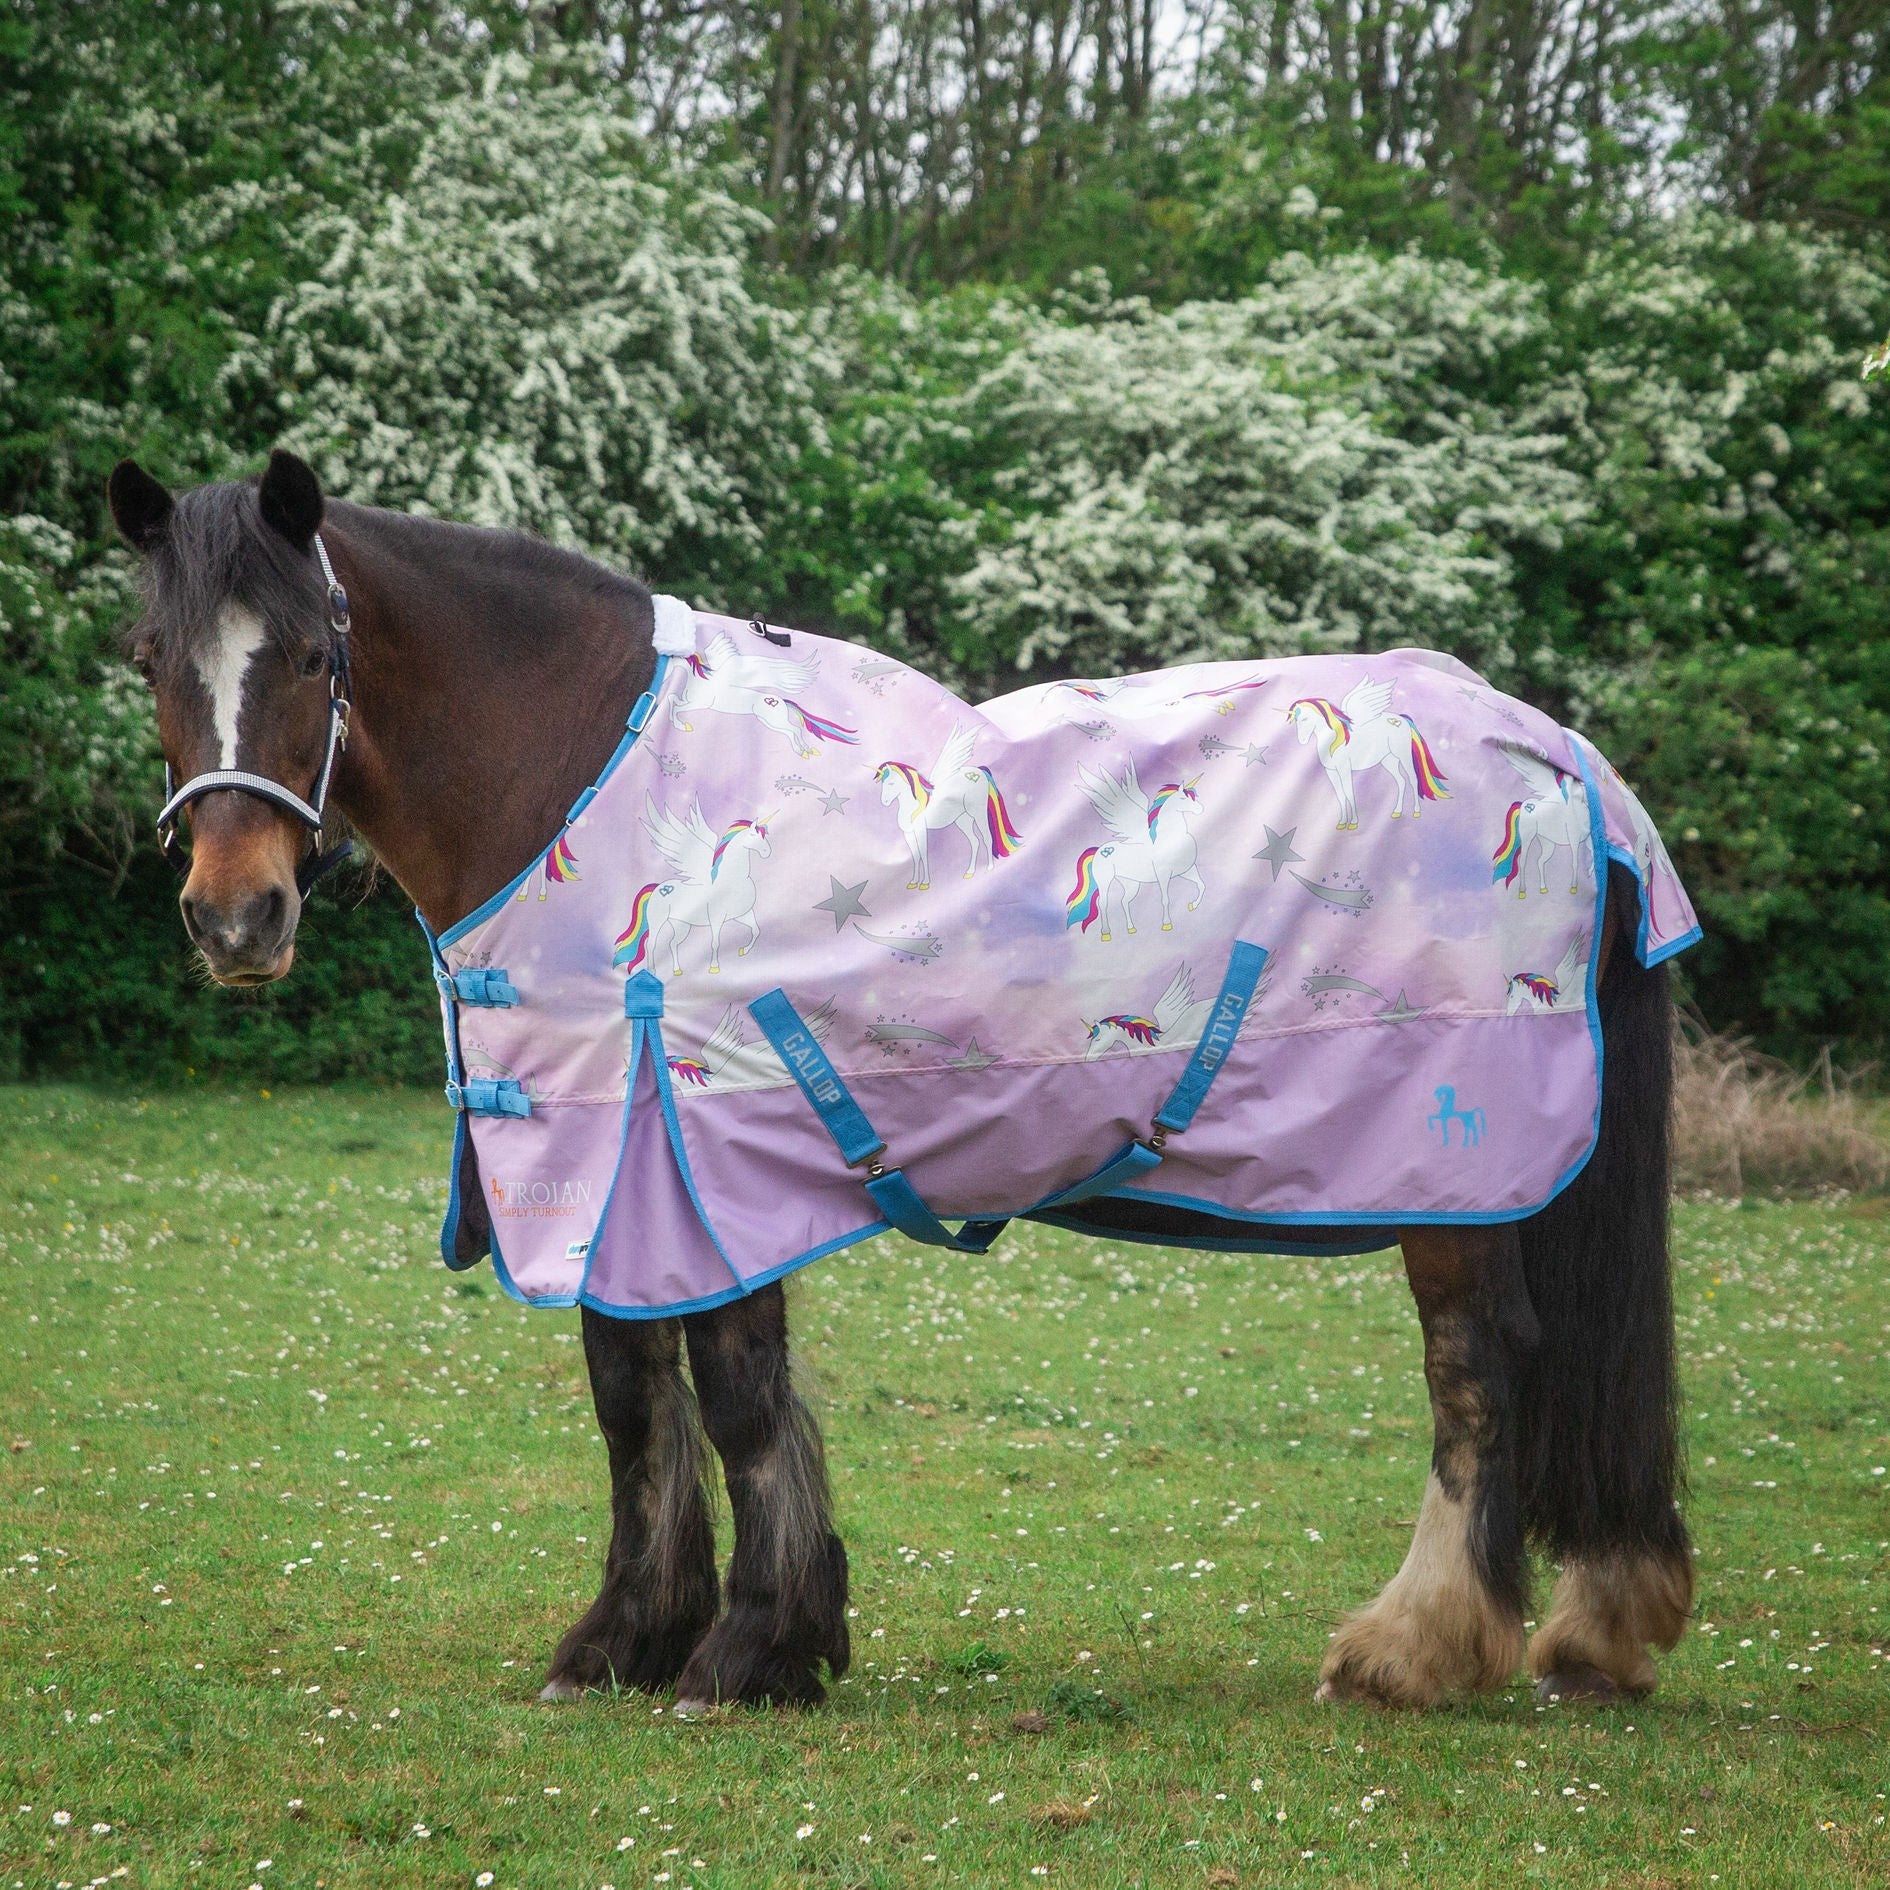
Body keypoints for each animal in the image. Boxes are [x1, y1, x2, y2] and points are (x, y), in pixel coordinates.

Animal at [107, 448, 1694, 1714]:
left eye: (316, 657)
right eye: (149, 660)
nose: (235, 917)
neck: (581, 779)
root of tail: (1559, 755)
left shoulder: (697, 1160)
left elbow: (733, 1400)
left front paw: (747, 1652)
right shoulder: (612, 1174)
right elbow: (635, 1399)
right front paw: (630, 1640)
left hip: (1457, 1170)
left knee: (1480, 1369)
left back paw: (1415, 1648)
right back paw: (1595, 1627)